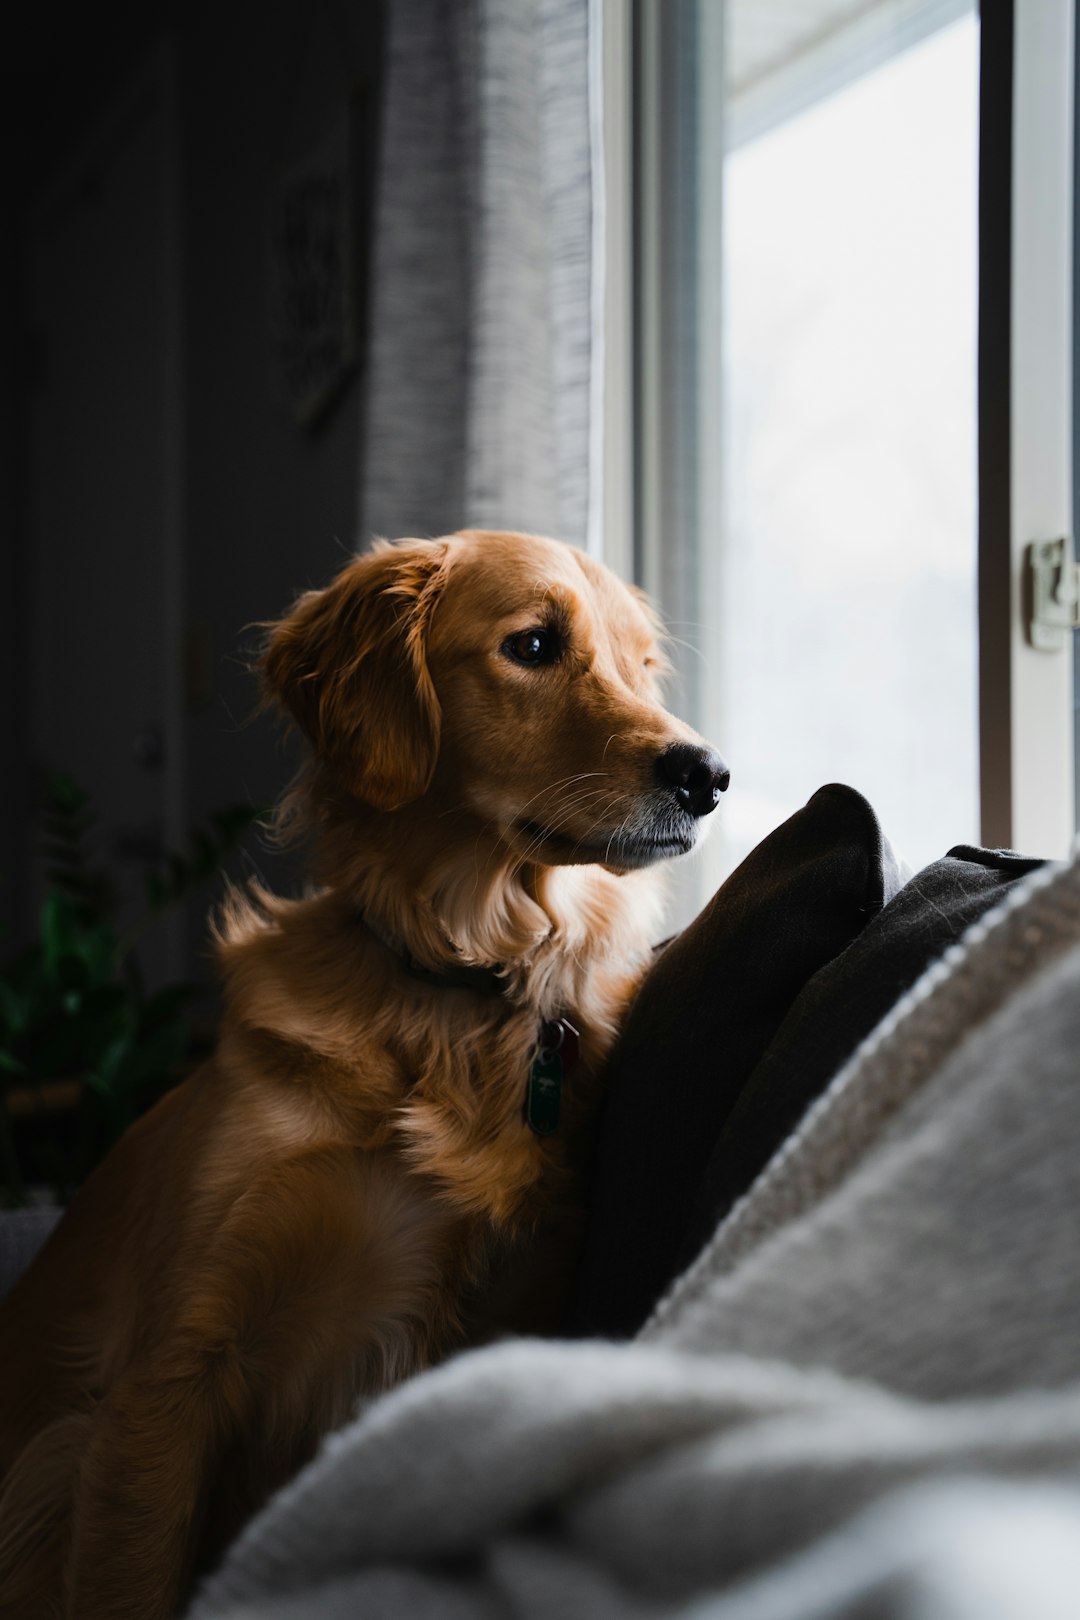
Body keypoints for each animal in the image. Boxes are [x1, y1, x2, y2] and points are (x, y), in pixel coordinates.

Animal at [0, 524, 731, 1613]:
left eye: (642, 665)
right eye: (533, 646)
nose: (709, 776)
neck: (455, 992)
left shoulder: (495, 1325)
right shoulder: (165, 1374)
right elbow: (132, 1579)